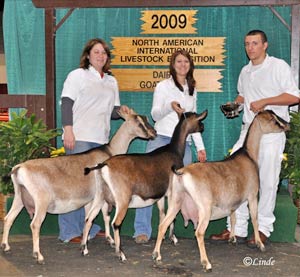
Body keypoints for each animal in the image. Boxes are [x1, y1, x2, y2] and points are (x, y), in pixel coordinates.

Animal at [152, 109, 290, 270]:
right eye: (274, 120)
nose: (287, 125)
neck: (248, 155)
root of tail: (182, 172)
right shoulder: (252, 195)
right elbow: (255, 219)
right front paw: (259, 244)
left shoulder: (233, 201)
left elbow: (233, 217)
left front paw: (232, 238)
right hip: (204, 207)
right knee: (199, 232)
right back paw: (206, 263)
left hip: (176, 200)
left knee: (163, 225)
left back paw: (156, 255)